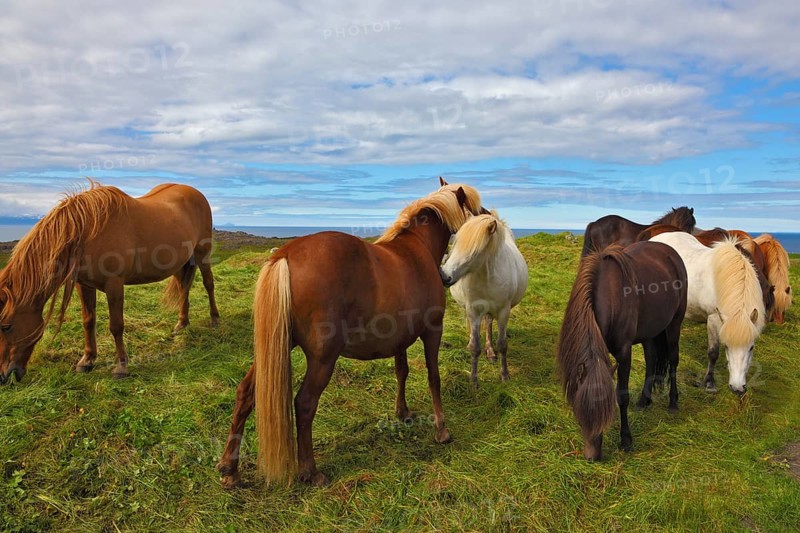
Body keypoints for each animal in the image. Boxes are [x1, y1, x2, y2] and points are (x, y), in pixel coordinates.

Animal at [0, 182, 219, 384]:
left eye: (6, 326)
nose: (3, 376)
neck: (86, 232)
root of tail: (195, 193)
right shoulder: (83, 285)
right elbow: (88, 321)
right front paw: (87, 360)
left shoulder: (114, 284)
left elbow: (116, 326)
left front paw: (121, 367)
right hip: (182, 262)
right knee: (184, 288)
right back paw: (181, 323)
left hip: (202, 253)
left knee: (208, 284)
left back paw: (215, 320)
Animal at [216, 181, 485, 487]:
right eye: (475, 208)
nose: (489, 217)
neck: (419, 249)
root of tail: (285, 254)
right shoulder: (432, 331)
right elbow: (433, 378)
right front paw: (441, 430)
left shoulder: (400, 338)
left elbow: (402, 371)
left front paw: (402, 413)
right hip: (322, 359)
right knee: (304, 403)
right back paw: (310, 471)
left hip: (273, 348)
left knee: (245, 393)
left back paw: (229, 468)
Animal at [439, 212, 528, 385]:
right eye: (455, 244)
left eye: (475, 251)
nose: (445, 277)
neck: (487, 275)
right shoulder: (473, 310)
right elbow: (475, 346)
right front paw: (473, 380)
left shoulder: (504, 311)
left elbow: (502, 344)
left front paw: (504, 375)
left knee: (488, 323)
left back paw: (491, 351)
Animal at [557, 241, 687, 461]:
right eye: (580, 413)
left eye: (606, 412)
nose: (592, 457)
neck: (609, 295)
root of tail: (670, 252)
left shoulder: (624, 353)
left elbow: (622, 396)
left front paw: (626, 440)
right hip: (649, 331)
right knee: (651, 358)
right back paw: (644, 400)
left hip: (674, 324)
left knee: (673, 360)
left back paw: (673, 402)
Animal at [649, 232, 766, 395]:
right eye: (726, 346)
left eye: (751, 347)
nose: (737, 388)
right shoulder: (713, 319)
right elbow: (713, 353)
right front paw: (709, 383)